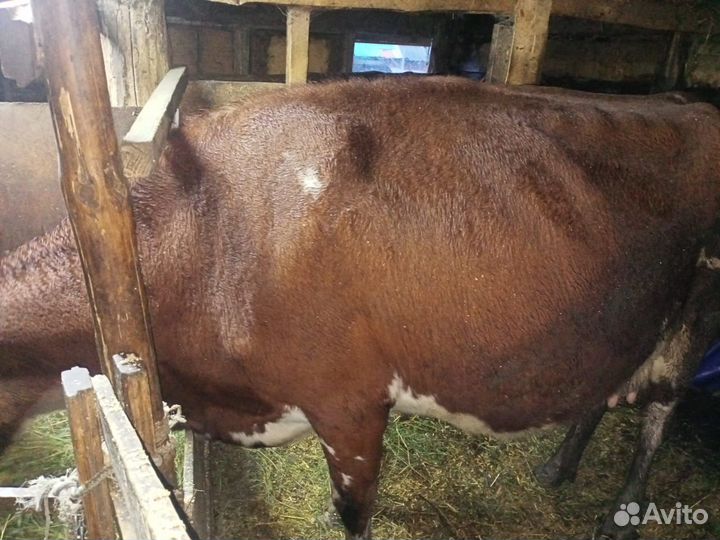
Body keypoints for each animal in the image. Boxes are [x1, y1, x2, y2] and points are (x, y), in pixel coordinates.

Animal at [1, 77, 719, 539]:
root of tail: (689, 102)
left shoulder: (347, 403)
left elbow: (354, 512)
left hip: (692, 318)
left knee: (659, 413)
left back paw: (620, 514)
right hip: (623, 317)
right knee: (606, 386)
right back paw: (557, 467)